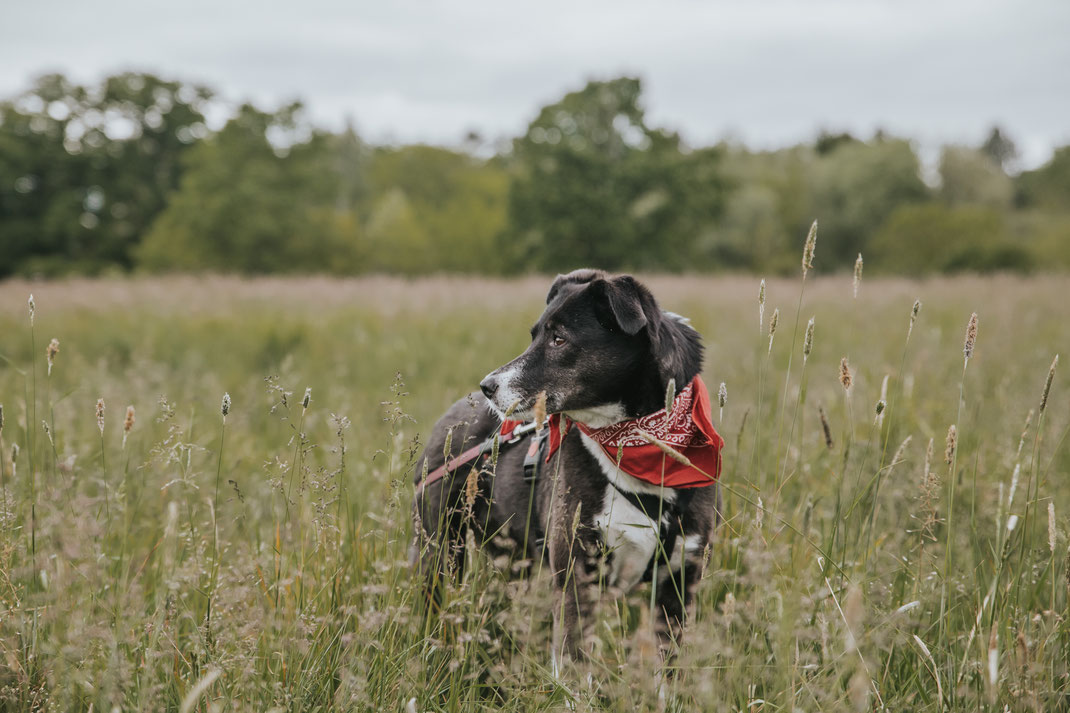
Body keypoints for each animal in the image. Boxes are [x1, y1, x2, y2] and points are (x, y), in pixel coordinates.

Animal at [413, 267, 723, 672]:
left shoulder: (679, 584)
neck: (637, 446)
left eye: (559, 339)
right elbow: (574, 664)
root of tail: (447, 421)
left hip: (512, 557)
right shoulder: (577, 575)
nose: (487, 386)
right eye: (534, 335)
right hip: (440, 551)